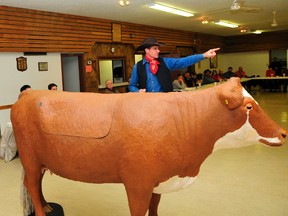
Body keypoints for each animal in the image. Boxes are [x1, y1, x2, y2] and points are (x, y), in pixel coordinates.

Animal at [10, 78, 286, 216]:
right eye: (248, 106)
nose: (283, 133)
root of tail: (28, 94)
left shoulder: (158, 180)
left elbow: (155, 208)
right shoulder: (137, 184)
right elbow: (140, 211)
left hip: (40, 160)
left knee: (35, 184)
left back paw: (47, 205)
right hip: (30, 157)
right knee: (31, 185)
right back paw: (42, 212)